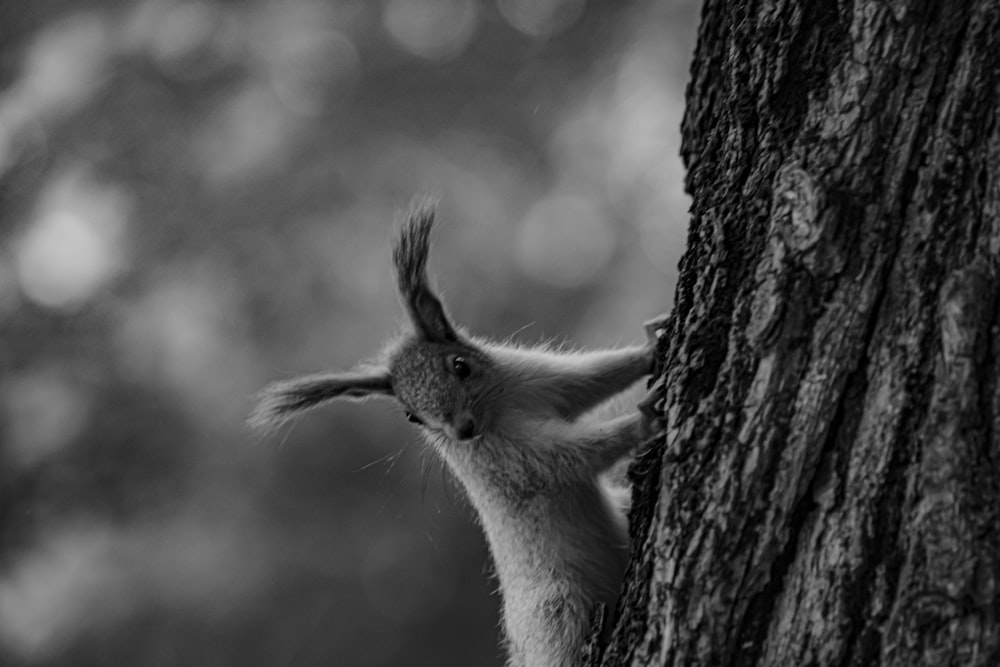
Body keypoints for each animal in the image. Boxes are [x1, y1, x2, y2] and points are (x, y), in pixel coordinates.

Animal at [252, 202, 664, 667]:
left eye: (460, 365)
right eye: (412, 417)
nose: (462, 430)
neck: (499, 412)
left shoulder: (534, 378)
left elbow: (592, 379)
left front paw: (650, 348)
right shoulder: (509, 461)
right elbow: (571, 456)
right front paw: (644, 420)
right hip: (556, 609)